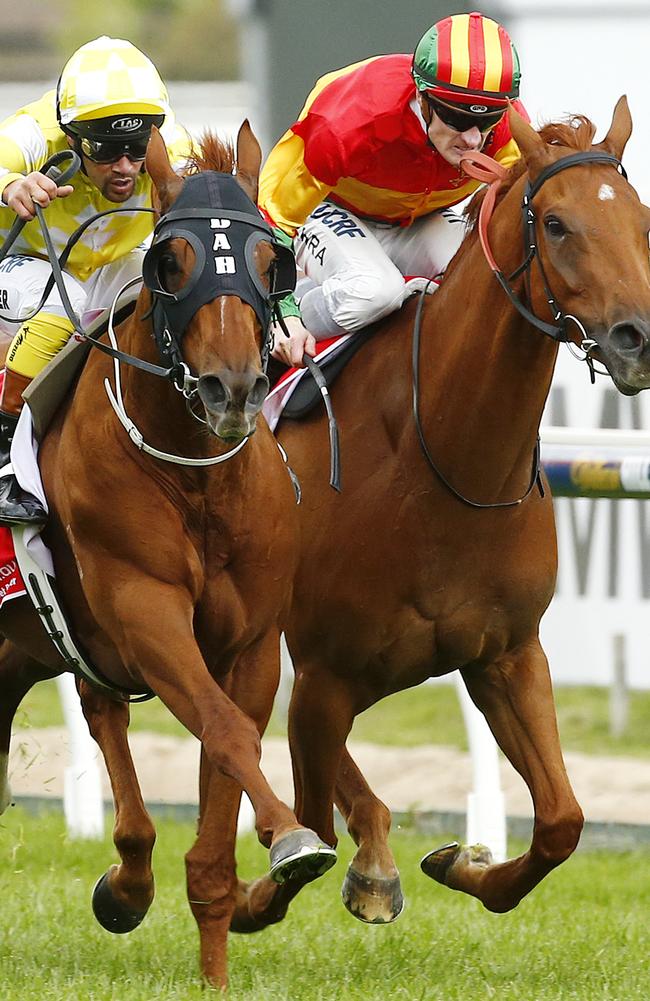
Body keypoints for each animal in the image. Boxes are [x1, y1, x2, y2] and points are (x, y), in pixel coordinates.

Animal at [0, 123, 334, 984]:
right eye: (170, 261)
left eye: (271, 261)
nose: (231, 387)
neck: (195, 476)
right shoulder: (144, 609)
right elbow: (225, 730)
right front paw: (293, 835)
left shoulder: (248, 641)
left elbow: (229, 748)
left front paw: (214, 962)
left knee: (102, 714)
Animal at [229, 101, 650, 928]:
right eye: (557, 224)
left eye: (643, 220)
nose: (638, 338)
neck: (440, 460)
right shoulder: (326, 669)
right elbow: (309, 821)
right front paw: (253, 894)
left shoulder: (506, 652)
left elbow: (562, 820)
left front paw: (462, 861)